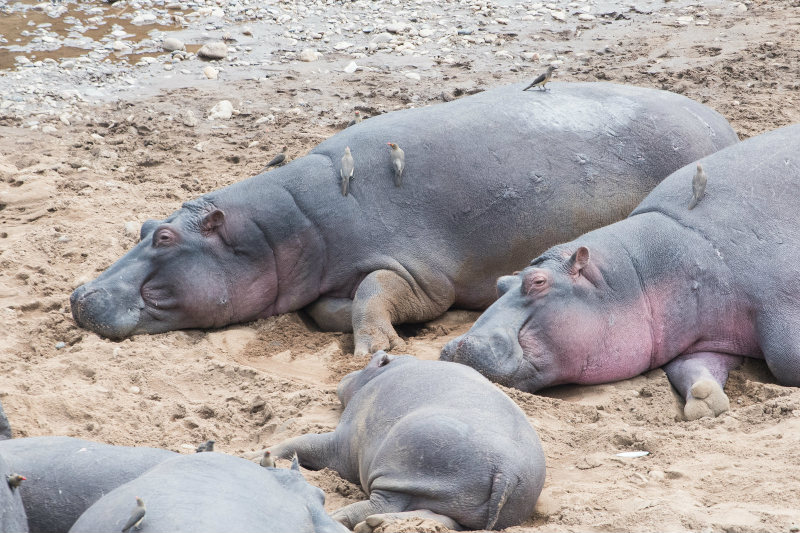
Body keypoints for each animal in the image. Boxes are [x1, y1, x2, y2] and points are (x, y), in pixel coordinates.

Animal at [73, 82, 736, 354]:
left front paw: (379, 345)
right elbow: (327, 305)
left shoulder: (418, 275)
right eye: (142, 227)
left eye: (164, 237)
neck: (279, 227)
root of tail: (720, 121)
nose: (80, 294)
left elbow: (375, 289)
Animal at [266, 352, 548, 528]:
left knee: (380, 504)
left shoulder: (343, 442)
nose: (348, 372)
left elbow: (302, 442)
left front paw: (261, 455)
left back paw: (342, 518)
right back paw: (374, 526)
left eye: (376, 358)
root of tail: (507, 469)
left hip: (402, 468)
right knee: (439, 519)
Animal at [440, 123, 800, 420]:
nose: (455, 346)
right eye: (501, 283)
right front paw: (704, 400)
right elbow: (691, 367)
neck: (641, 268)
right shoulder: (705, 335)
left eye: (538, 282)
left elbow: (787, 360)